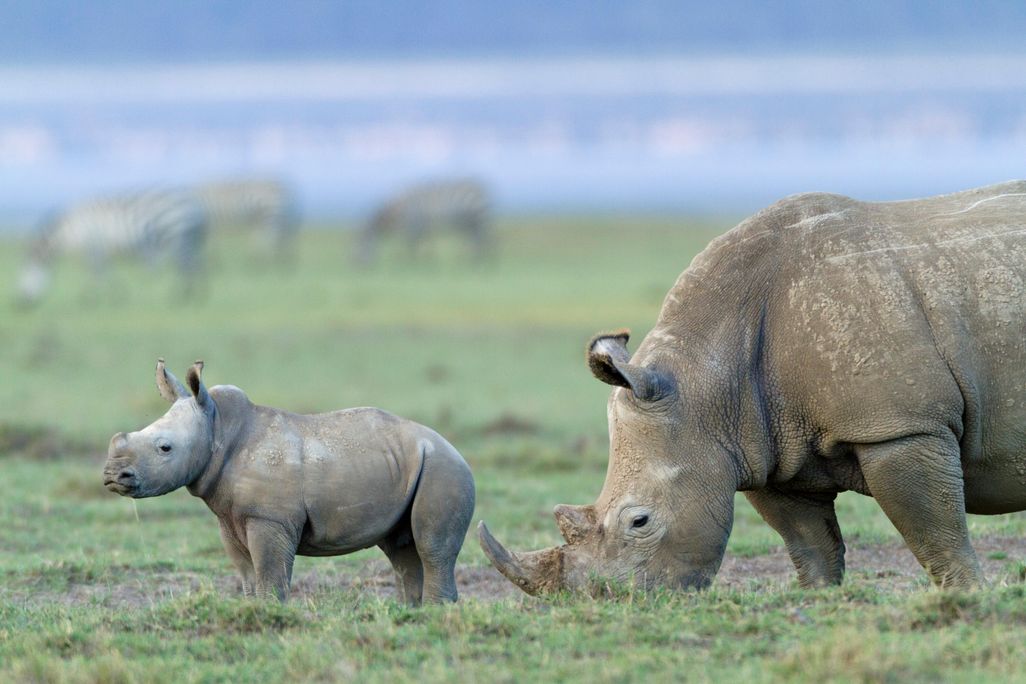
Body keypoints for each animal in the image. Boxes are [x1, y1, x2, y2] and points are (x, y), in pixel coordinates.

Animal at [103, 360, 475, 603]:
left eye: (164, 448)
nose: (111, 476)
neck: (217, 427)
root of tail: (454, 449)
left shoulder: (270, 518)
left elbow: (270, 574)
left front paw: (271, 615)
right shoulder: (229, 518)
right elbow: (247, 574)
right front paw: (252, 611)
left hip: (442, 468)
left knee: (431, 548)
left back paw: (436, 612)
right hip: (412, 466)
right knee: (401, 549)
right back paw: (411, 614)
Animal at [479, 180, 1026, 595]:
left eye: (640, 522)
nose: (607, 602)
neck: (704, 383)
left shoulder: (901, 426)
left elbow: (936, 534)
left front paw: (969, 597)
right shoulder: (765, 444)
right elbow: (810, 542)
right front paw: (819, 598)